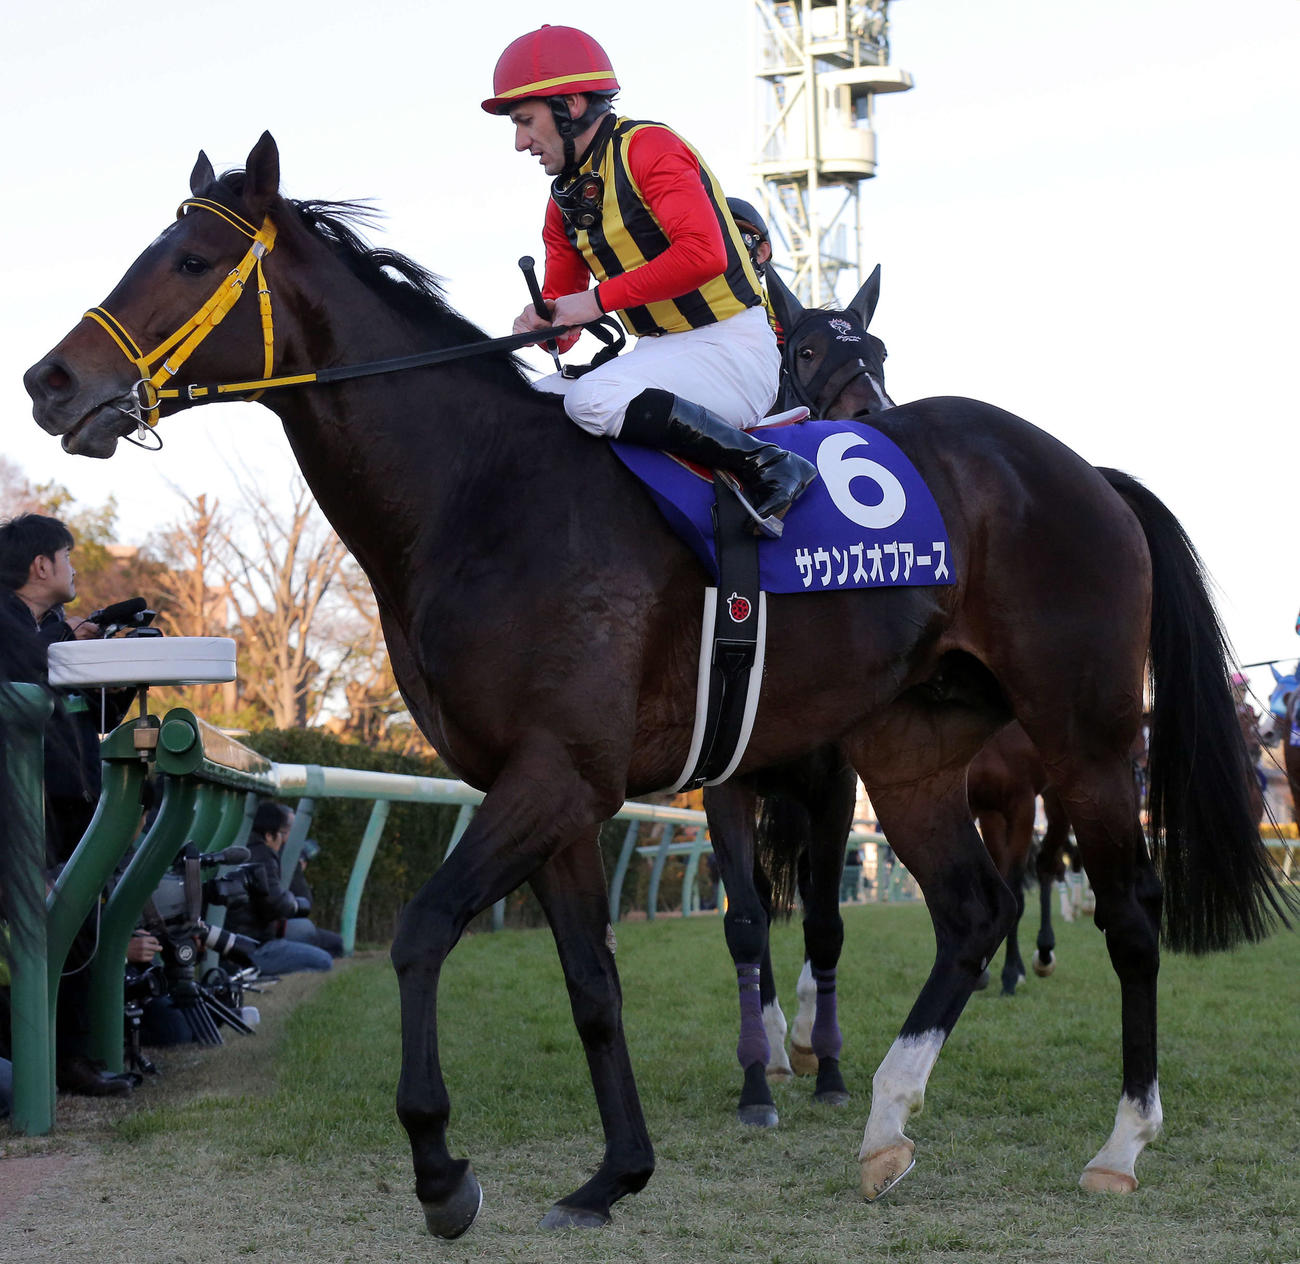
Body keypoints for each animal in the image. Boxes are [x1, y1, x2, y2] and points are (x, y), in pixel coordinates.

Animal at [25, 134, 1292, 1236]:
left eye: (191, 262)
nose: (48, 379)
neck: (480, 495)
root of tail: (1084, 470)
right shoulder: (562, 791)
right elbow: (594, 979)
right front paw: (614, 1173)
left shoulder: (555, 774)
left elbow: (428, 929)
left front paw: (440, 1168)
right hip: (913, 750)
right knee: (971, 908)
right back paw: (886, 1121)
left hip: (1082, 739)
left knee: (1129, 912)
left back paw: (1118, 1143)